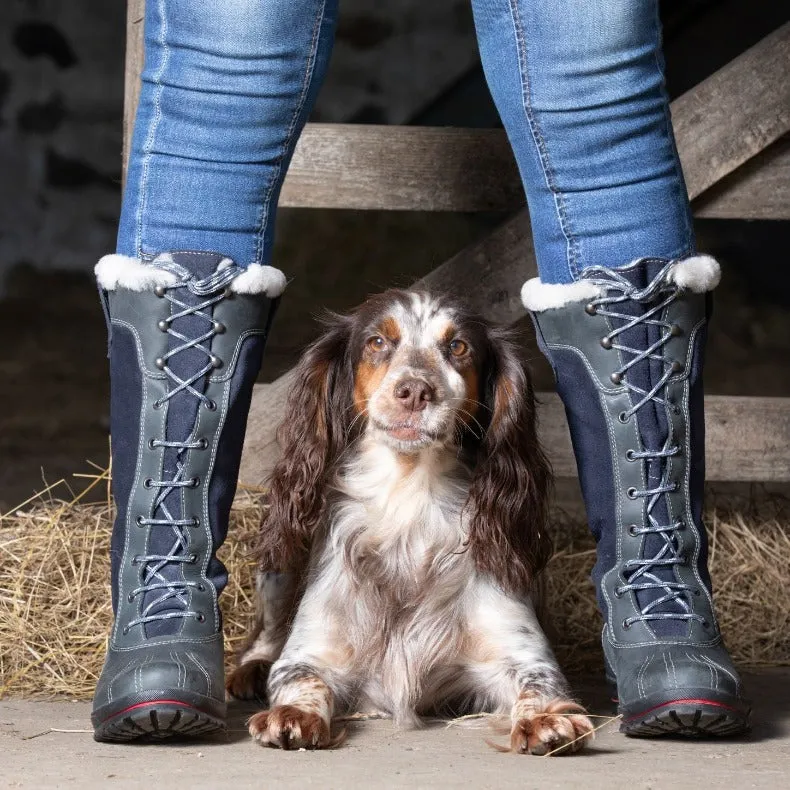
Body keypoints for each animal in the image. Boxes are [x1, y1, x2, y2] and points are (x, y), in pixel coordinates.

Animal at [226, 290, 596, 756]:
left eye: (458, 346)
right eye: (377, 342)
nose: (415, 390)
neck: (409, 502)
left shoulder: (522, 654)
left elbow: (539, 684)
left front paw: (547, 719)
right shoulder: (309, 654)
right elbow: (301, 679)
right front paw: (291, 714)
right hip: (279, 564)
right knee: (265, 635)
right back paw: (250, 670)